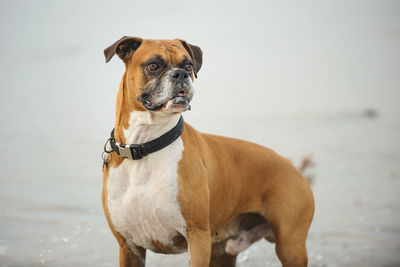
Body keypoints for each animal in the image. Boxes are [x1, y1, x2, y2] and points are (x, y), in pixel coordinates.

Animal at [101, 36, 314, 267]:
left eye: (188, 65)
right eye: (153, 65)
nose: (181, 74)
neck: (145, 147)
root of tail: (291, 165)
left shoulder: (198, 237)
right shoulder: (129, 247)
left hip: (290, 247)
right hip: (223, 253)